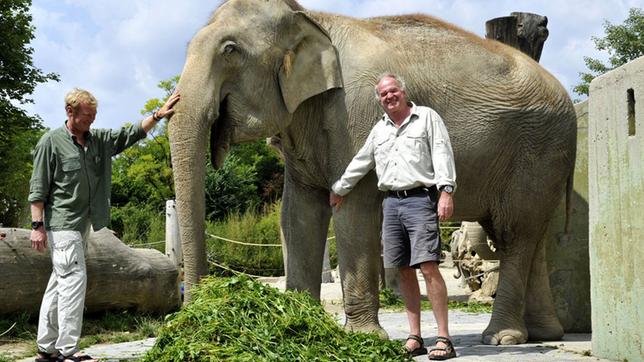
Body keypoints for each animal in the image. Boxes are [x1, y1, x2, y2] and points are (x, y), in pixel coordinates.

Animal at [169, 0, 576, 346]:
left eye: (230, 50)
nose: (190, 317)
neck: (310, 17)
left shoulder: (356, 111)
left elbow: (352, 206)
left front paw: (363, 338)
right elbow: (298, 214)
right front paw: (299, 324)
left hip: (537, 151)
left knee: (514, 234)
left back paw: (501, 338)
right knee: (530, 236)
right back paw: (543, 334)